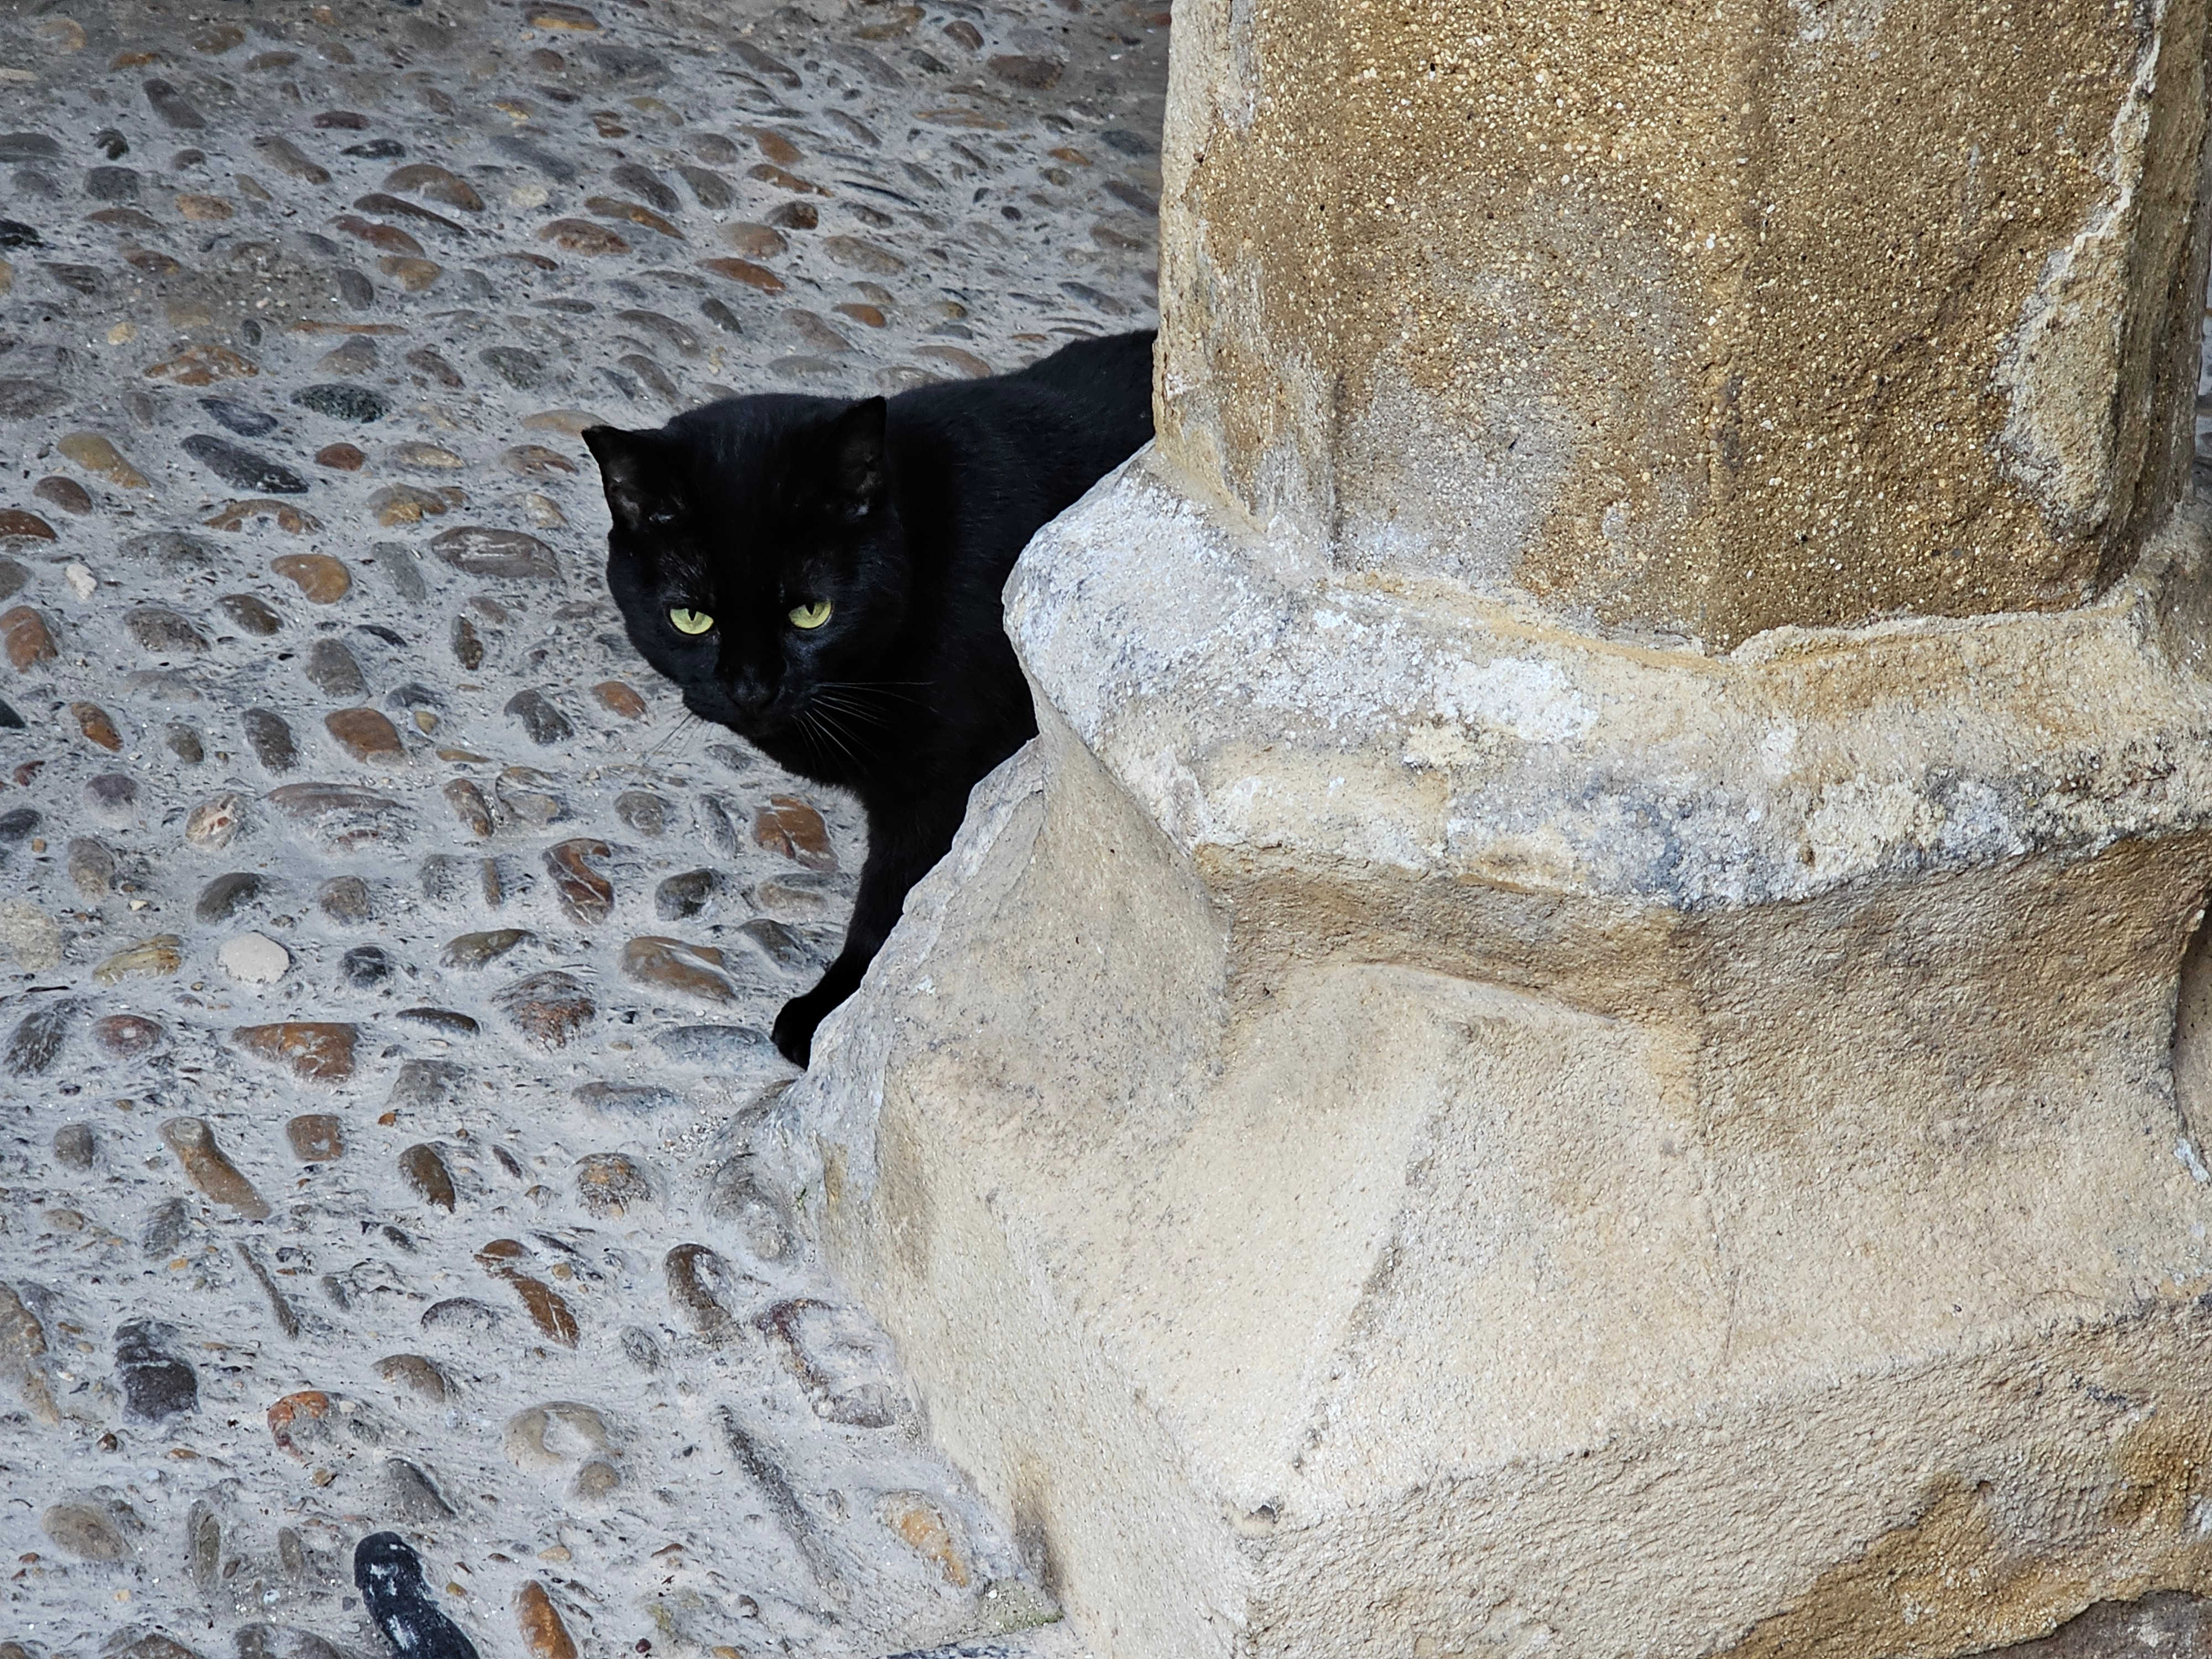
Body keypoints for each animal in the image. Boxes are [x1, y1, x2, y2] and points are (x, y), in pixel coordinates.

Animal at [585, 329, 1155, 1067]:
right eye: (691, 617)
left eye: (811, 612)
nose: (751, 688)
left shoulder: (945, 788)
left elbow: (895, 902)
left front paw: (838, 1010)